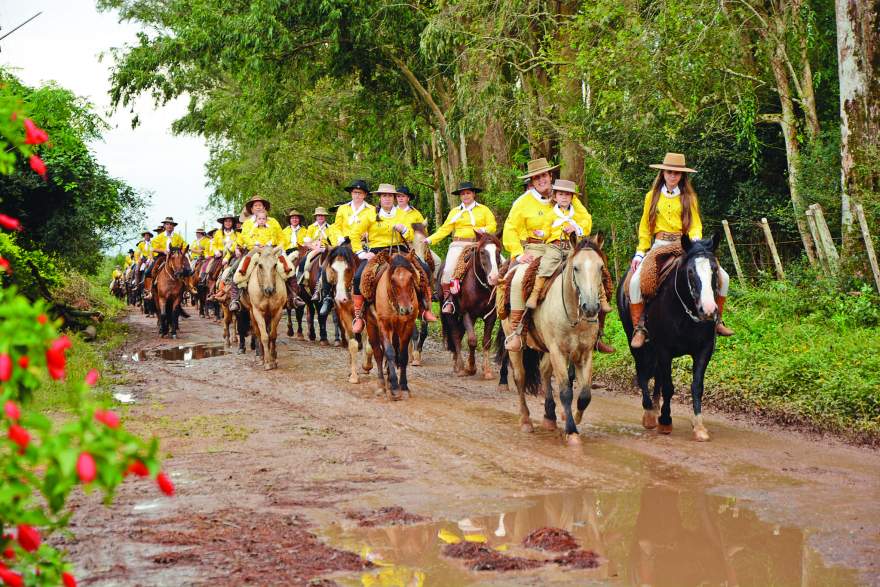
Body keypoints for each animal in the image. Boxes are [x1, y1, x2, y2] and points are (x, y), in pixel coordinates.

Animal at [326, 240, 374, 386]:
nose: (341, 298)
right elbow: (353, 344)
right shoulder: (345, 314)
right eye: (333, 269)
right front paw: (353, 376)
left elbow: (368, 343)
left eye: (348, 269)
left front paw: (367, 366)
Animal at [362, 253, 422, 400]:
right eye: (393, 281)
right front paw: (395, 387)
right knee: (378, 353)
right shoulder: (384, 325)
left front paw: (404, 387)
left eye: (411, 277)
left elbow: (403, 355)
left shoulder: (407, 326)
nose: (406, 309)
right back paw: (382, 385)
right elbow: (388, 352)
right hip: (372, 326)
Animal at [440, 233, 502, 376]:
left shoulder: (491, 315)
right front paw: (471, 367)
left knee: (460, 333)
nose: (494, 278)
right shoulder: (467, 313)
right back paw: (460, 366)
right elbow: (472, 341)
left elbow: (486, 342)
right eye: (482, 252)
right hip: (451, 314)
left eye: (498, 251)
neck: (480, 286)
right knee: (456, 335)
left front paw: (487, 370)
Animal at [498, 238, 608, 446]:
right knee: (520, 377)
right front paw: (571, 432)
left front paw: (575, 417)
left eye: (600, 267)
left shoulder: (585, 353)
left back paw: (549, 417)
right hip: (516, 344)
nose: (590, 307)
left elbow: (585, 394)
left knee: (544, 371)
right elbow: (565, 391)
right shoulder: (558, 351)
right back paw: (526, 421)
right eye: (576, 268)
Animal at [620, 234, 720, 440]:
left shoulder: (704, 349)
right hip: (636, 344)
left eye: (714, 269)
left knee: (655, 375)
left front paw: (699, 426)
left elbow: (697, 386)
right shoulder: (664, 349)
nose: (708, 310)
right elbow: (668, 387)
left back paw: (655, 407)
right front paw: (665, 421)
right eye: (690, 271)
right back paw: (650, 414)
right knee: (642, 373)